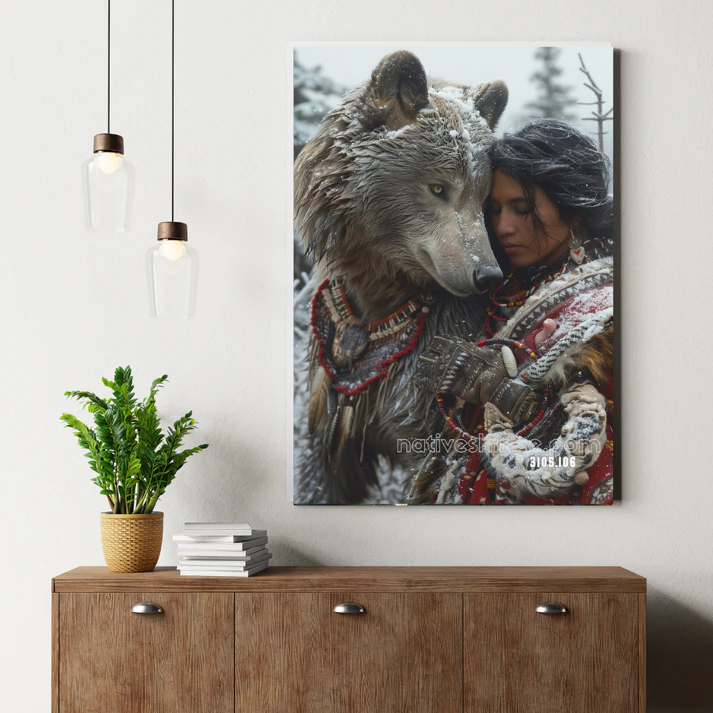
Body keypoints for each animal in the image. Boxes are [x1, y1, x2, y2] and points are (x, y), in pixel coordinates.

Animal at [294, 50, 508, 504]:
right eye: (439, 187)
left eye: (485, 196)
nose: (486, 274)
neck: (383, 288)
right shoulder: (334, 391)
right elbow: (323, 474)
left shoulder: (428, 384)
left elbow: (433, 474)